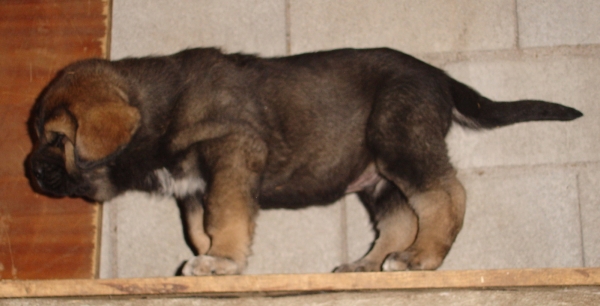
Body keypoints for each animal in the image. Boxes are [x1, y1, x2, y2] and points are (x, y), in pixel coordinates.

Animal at [27, 47, 580, 274]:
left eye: (56, 138)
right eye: (36, 136)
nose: (29, 170)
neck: (156, 110)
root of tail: (438, 76)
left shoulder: (232, 152)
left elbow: (224, 217)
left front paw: (224, 262)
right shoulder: (193, 188)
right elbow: (200, 228)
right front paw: (214, 257)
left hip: (399, 139)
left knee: (444, 195)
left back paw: (424, 257)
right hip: (378, 177)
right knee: (400, 220)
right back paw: (369, 264)